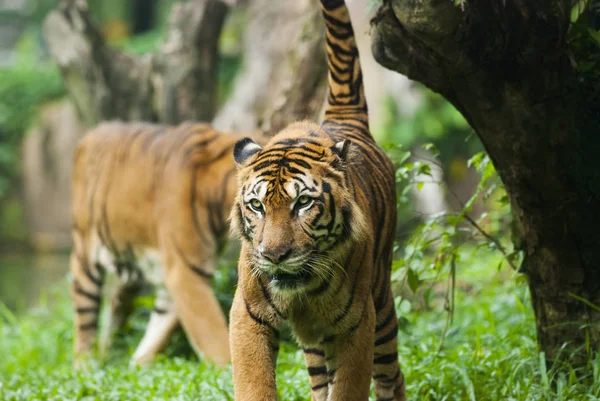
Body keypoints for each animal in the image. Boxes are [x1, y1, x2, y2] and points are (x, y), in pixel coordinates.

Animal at [71, 121, 264, 366]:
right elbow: (213, 337)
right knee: (84, 325)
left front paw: (136, 367)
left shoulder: (177, 276)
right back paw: (84, 367)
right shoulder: (186, 271)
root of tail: (90, 134)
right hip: (85, 254)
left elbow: (159, 331)